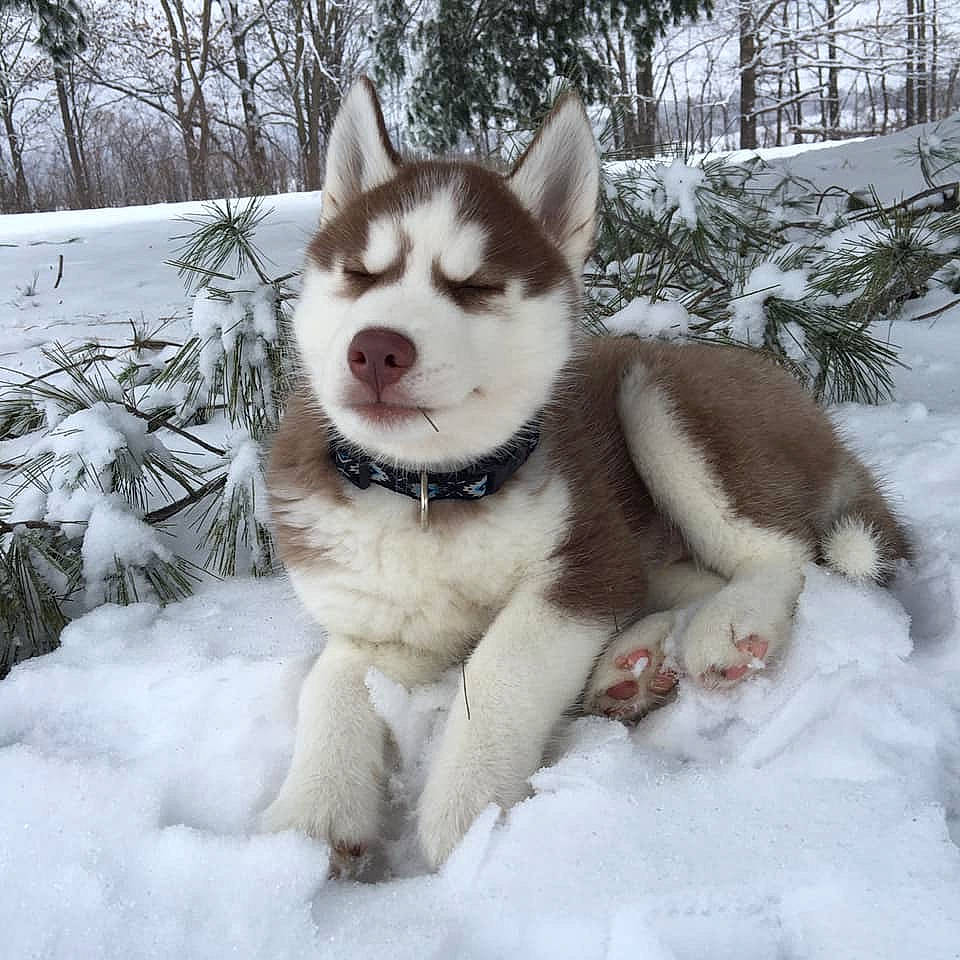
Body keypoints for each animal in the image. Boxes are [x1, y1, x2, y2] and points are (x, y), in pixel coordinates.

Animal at [263, 78, 909, 873]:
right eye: (360, 274)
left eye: (476, 286)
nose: (376, 349)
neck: (432, 491)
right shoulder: (380, 624)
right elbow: (329, 685)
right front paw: (308, 820)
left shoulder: (586, 559)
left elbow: (500, 666)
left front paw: (467, 805)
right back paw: (632, 665)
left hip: (657, 393)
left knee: (781, 553)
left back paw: (730, 627)